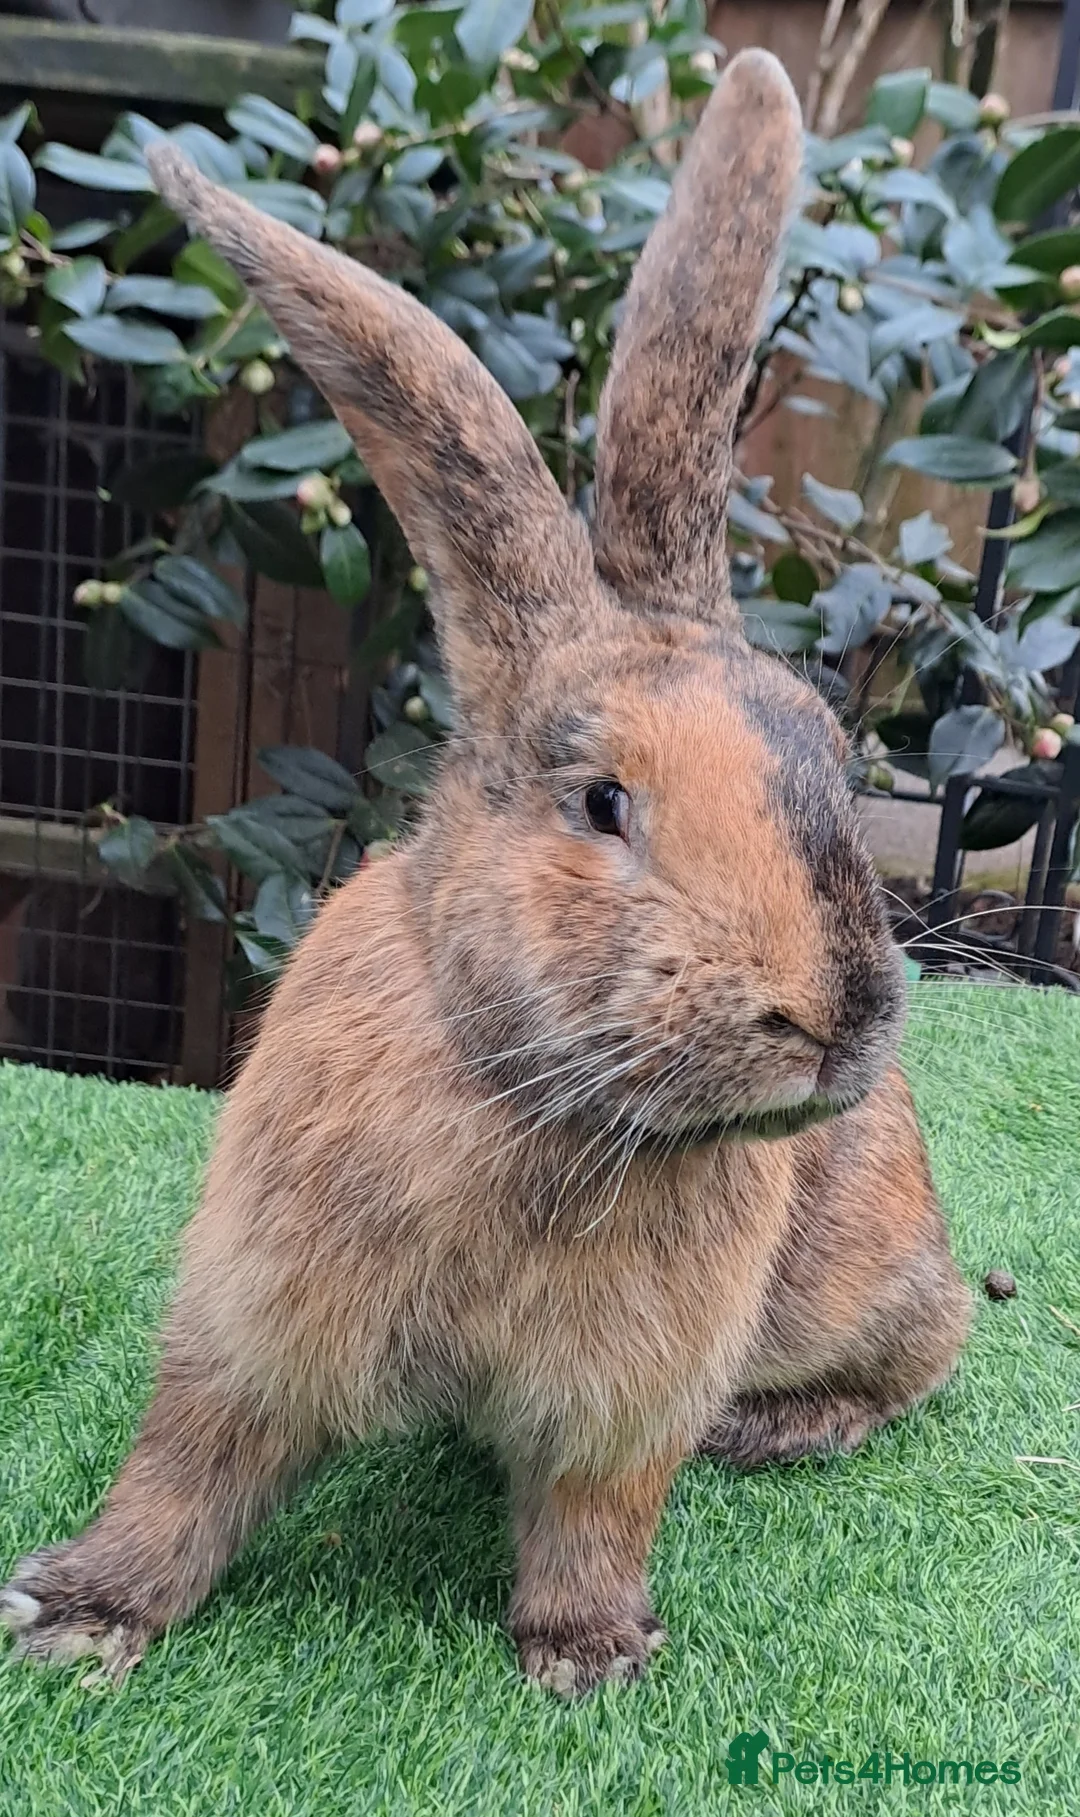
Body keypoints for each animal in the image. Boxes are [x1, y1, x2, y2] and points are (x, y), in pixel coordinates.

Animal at [1, 49, 971, 1696]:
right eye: (602, 802)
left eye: (833, 754)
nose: (836, 1013)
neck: (532, 1099)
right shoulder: (252, 1315)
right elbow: (181, 1473)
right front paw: (74, 1615)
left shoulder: (626, 1404)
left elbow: (594, 1516)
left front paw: (586, 1659)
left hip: (862, 1266)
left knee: (936, 1339)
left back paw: (793, 1422)